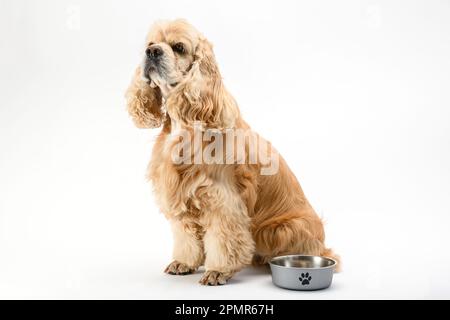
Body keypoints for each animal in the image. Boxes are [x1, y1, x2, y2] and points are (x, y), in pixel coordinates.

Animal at [125, 20, 340, 284]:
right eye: (150, 43)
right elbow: (186, 237)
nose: (152, 52)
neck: (186, 124)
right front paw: (184, 262)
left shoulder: (223, 200)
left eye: (179, 47)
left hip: (284, 227)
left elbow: (223, 239)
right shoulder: (179, 193)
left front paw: (218, 271)